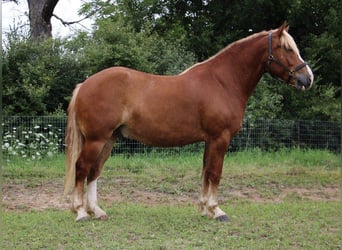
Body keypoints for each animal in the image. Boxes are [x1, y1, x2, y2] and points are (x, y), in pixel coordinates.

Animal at [63, 22, 312, 222]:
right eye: (287, 48)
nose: (308, 78)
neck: (222, 82)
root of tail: (84, 85)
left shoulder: (210, 140)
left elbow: (206, 171)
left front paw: (204, 209)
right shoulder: (220, 138)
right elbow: (215, 173)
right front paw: (217, 210)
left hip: (109, 139)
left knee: (94, 171)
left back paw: (97, 211)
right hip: (96, 139)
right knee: (82, 168)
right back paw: (81, 212)